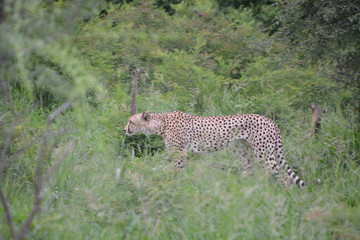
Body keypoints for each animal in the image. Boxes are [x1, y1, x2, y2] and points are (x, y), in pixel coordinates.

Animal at [124, 110, 304, 188]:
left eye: (131, 121)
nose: (124, 129)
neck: (161, 124)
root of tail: (270, 120)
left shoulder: (180, 154)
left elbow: (173, 170)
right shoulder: (183, 155)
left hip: (263, 152)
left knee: (281, 175)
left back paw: (280, 195)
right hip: (240, 148)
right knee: (249, 167)